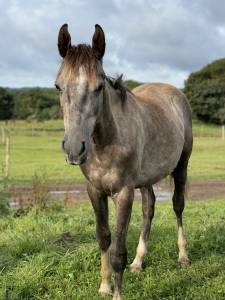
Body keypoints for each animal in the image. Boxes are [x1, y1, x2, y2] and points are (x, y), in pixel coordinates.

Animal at [55, 24, 193, 300]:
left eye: (99, 87)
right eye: (58, 86)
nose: (74, 149)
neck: (106, 141)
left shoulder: (124, 193)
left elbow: (118, 250)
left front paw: (116, 293)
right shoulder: (94, 190)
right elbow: (104, 238)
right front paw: (104, 285)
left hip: (181, 166)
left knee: (177, 205)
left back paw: (183, 256)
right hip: (147, 179)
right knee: (149, 208)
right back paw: (138, 262)